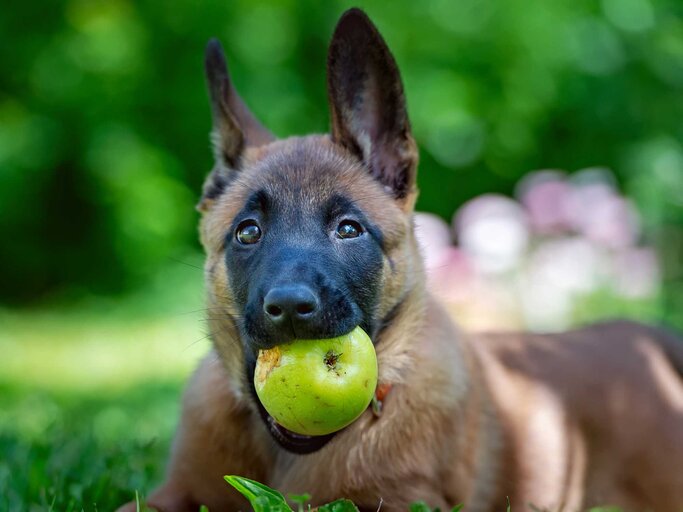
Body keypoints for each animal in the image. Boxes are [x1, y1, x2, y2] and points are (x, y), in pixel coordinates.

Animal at [117, 8, 683, 512]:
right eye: (248, 232)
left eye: (349, 229)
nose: (291, 307)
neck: (288, 459)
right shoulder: (173, 493)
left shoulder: (407, 502)